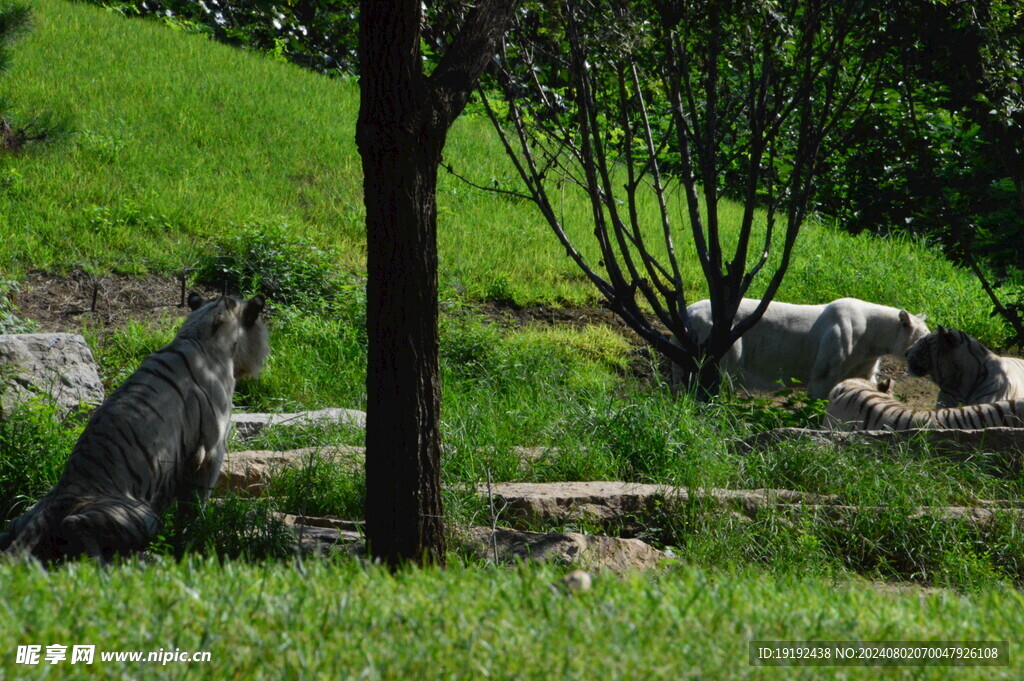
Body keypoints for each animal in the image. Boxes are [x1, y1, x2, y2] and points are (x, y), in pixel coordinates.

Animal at [0, 294, 270, 561]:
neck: (202, 331)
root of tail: (61, 497)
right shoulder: (212, 449)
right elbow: (196, 501)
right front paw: (197, 530)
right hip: (144, 517)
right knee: (74, 523)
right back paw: (100, 562)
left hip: (21, 519)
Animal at [671, 296, 929, 399]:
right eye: (925, 337)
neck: (872, 334)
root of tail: (689, 311)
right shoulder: (835, 348)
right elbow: (820, 387)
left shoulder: (864, 359)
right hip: (721, 340)